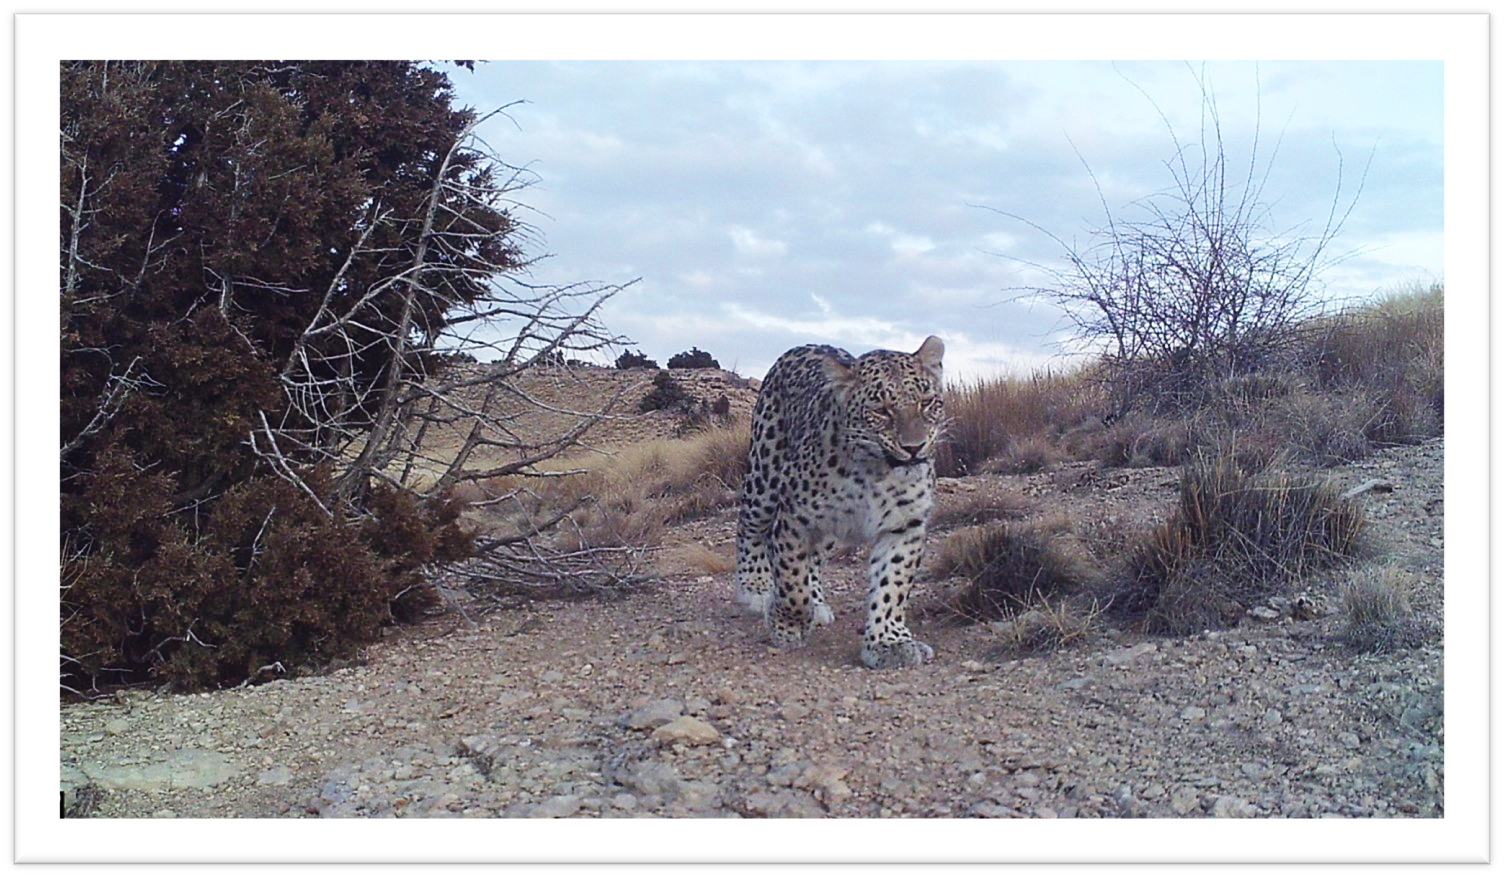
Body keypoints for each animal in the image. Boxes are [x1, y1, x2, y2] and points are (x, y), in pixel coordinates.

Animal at [733, 332, 944, 667]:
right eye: (881, 410)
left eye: (927, 403)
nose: (914, 448)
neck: (876, 471)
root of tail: (804, 344)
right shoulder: (795, 517)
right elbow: (792, 579)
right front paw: (787, 625)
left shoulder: (903, 526)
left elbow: (892, 586)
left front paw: (888, 643)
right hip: (764, 476)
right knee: (749, 526)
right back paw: (756, 588)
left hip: (827, 528)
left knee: (815, 559)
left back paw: (817, 603)